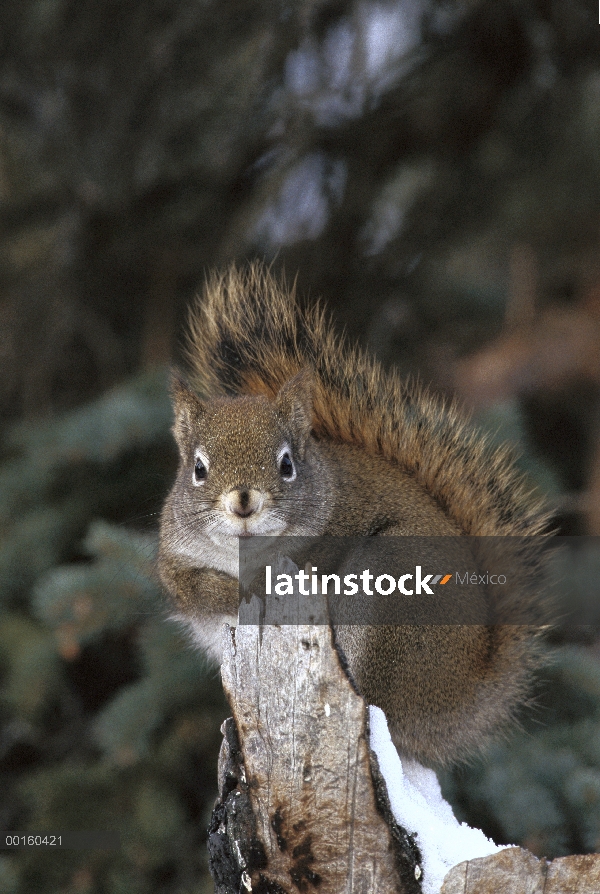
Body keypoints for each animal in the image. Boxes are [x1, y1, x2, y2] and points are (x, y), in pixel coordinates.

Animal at [158, 262, 548, 768]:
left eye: (287, 464)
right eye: (198, 469)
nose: (243, 501)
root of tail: (461, 700)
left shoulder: (329, 542)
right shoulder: (175, 562)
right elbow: (193, 590)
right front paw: (233, 591)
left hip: (389, 590)